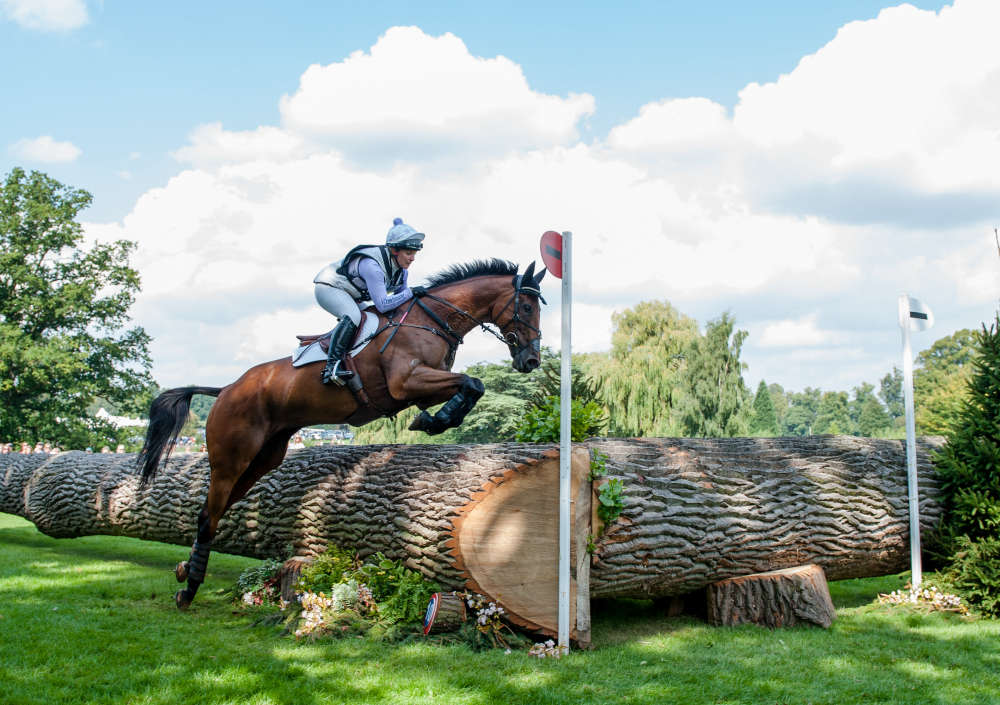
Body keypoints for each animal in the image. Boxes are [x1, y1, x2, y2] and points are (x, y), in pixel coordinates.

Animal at [136, 259, 546, 609]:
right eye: (527, 307)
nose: (530, 361)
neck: (431, 319)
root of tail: (225, 390)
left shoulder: (423, 385)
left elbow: (471, 387)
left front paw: (436, 419)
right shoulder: (406, 382)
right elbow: (473, 383)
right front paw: (434, 420)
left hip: (263, 458)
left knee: (212, 511)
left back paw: (186, 572)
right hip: (231, 457)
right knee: (209, 514)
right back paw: (189, 590)